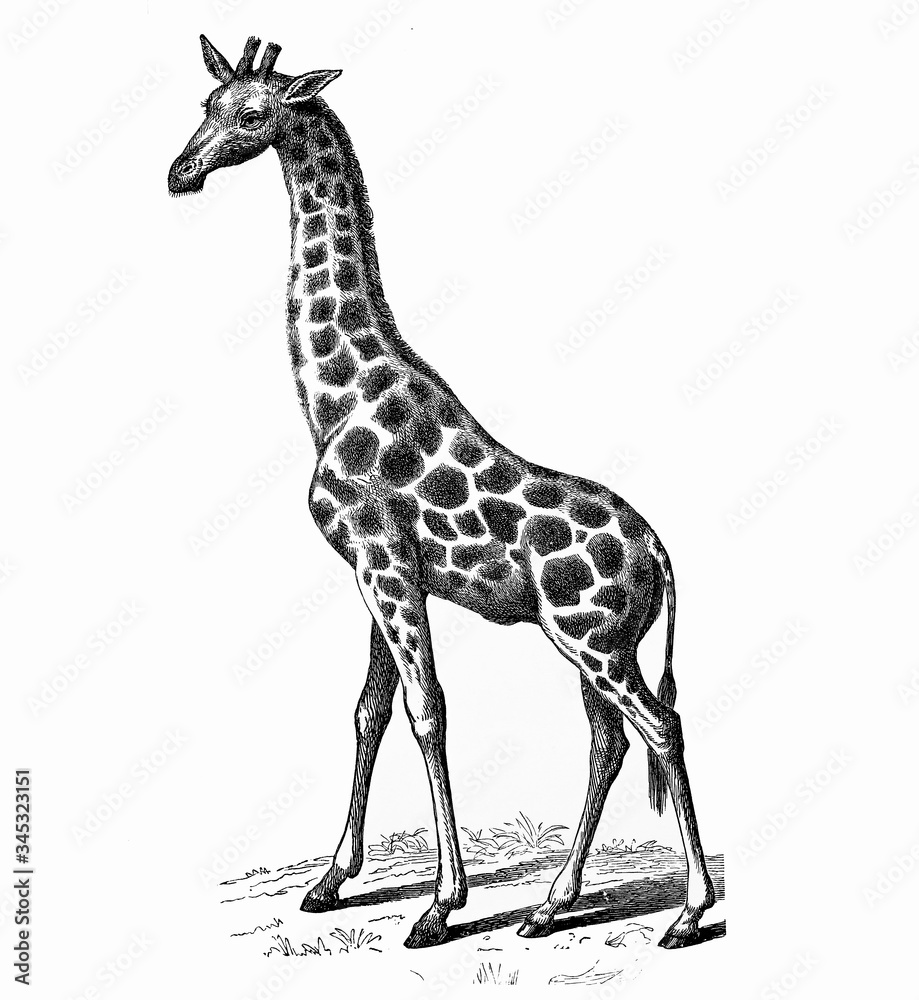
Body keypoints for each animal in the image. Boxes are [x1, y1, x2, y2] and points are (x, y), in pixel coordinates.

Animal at [168, 35, 716, 950]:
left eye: (251, 114)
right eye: (205, 106)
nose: (180, 172)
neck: (334, 398)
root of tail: (657, 550)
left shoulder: (384, 564)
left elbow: (427, 710)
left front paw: (438, 904)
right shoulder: (379, 570)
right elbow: (369, 711)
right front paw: (330, 882)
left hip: (591, 641)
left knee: (659, 726)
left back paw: (688, 911)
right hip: (602, 645)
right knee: (607, 740)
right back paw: (550, 904)